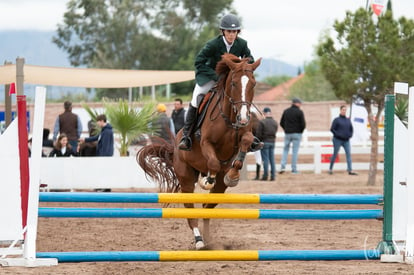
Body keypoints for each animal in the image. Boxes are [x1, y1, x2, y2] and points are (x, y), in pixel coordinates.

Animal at [137, 54, 260, 250]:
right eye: (234, 84)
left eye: (253, 84)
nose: (243, 117)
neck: (229, 117)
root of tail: (174, 148)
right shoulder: (206, 143)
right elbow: (213, 163)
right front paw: (207, 180)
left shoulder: (245, 134)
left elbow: (245, 143)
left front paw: (233, 175)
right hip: (186, 177)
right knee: (190, 209)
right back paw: (199, 240)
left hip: (219, 188)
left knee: (208, 207)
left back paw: (208, 239)